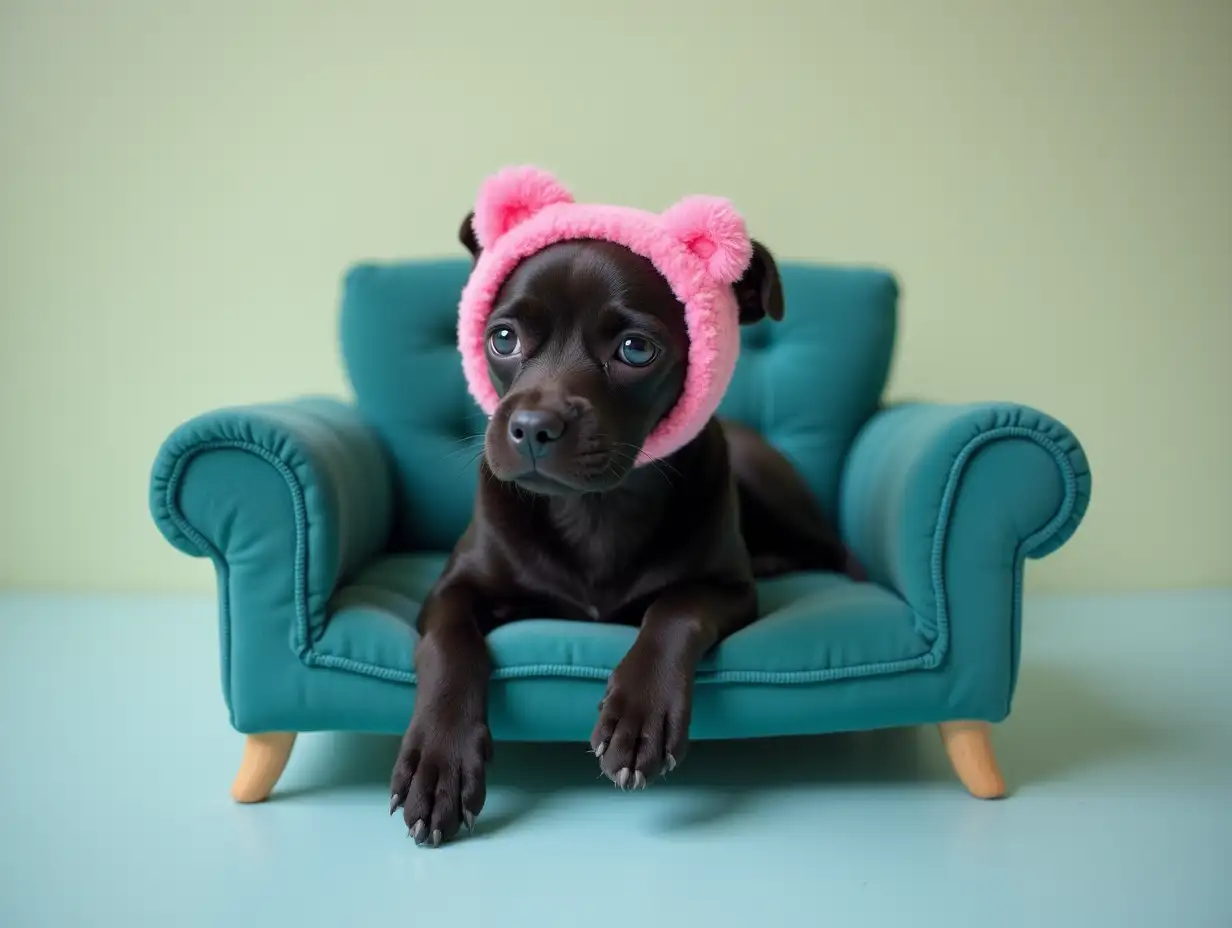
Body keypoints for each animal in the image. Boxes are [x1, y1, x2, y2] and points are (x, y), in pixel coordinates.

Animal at [389, 175, 852, 847]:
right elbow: (451, 646)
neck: (595, 508)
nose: (532, 426)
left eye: (636, 350)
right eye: (503, 338)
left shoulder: (727, 589)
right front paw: (439, 761)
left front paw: (640, 713)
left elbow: (675, 608)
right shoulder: (452, 590)